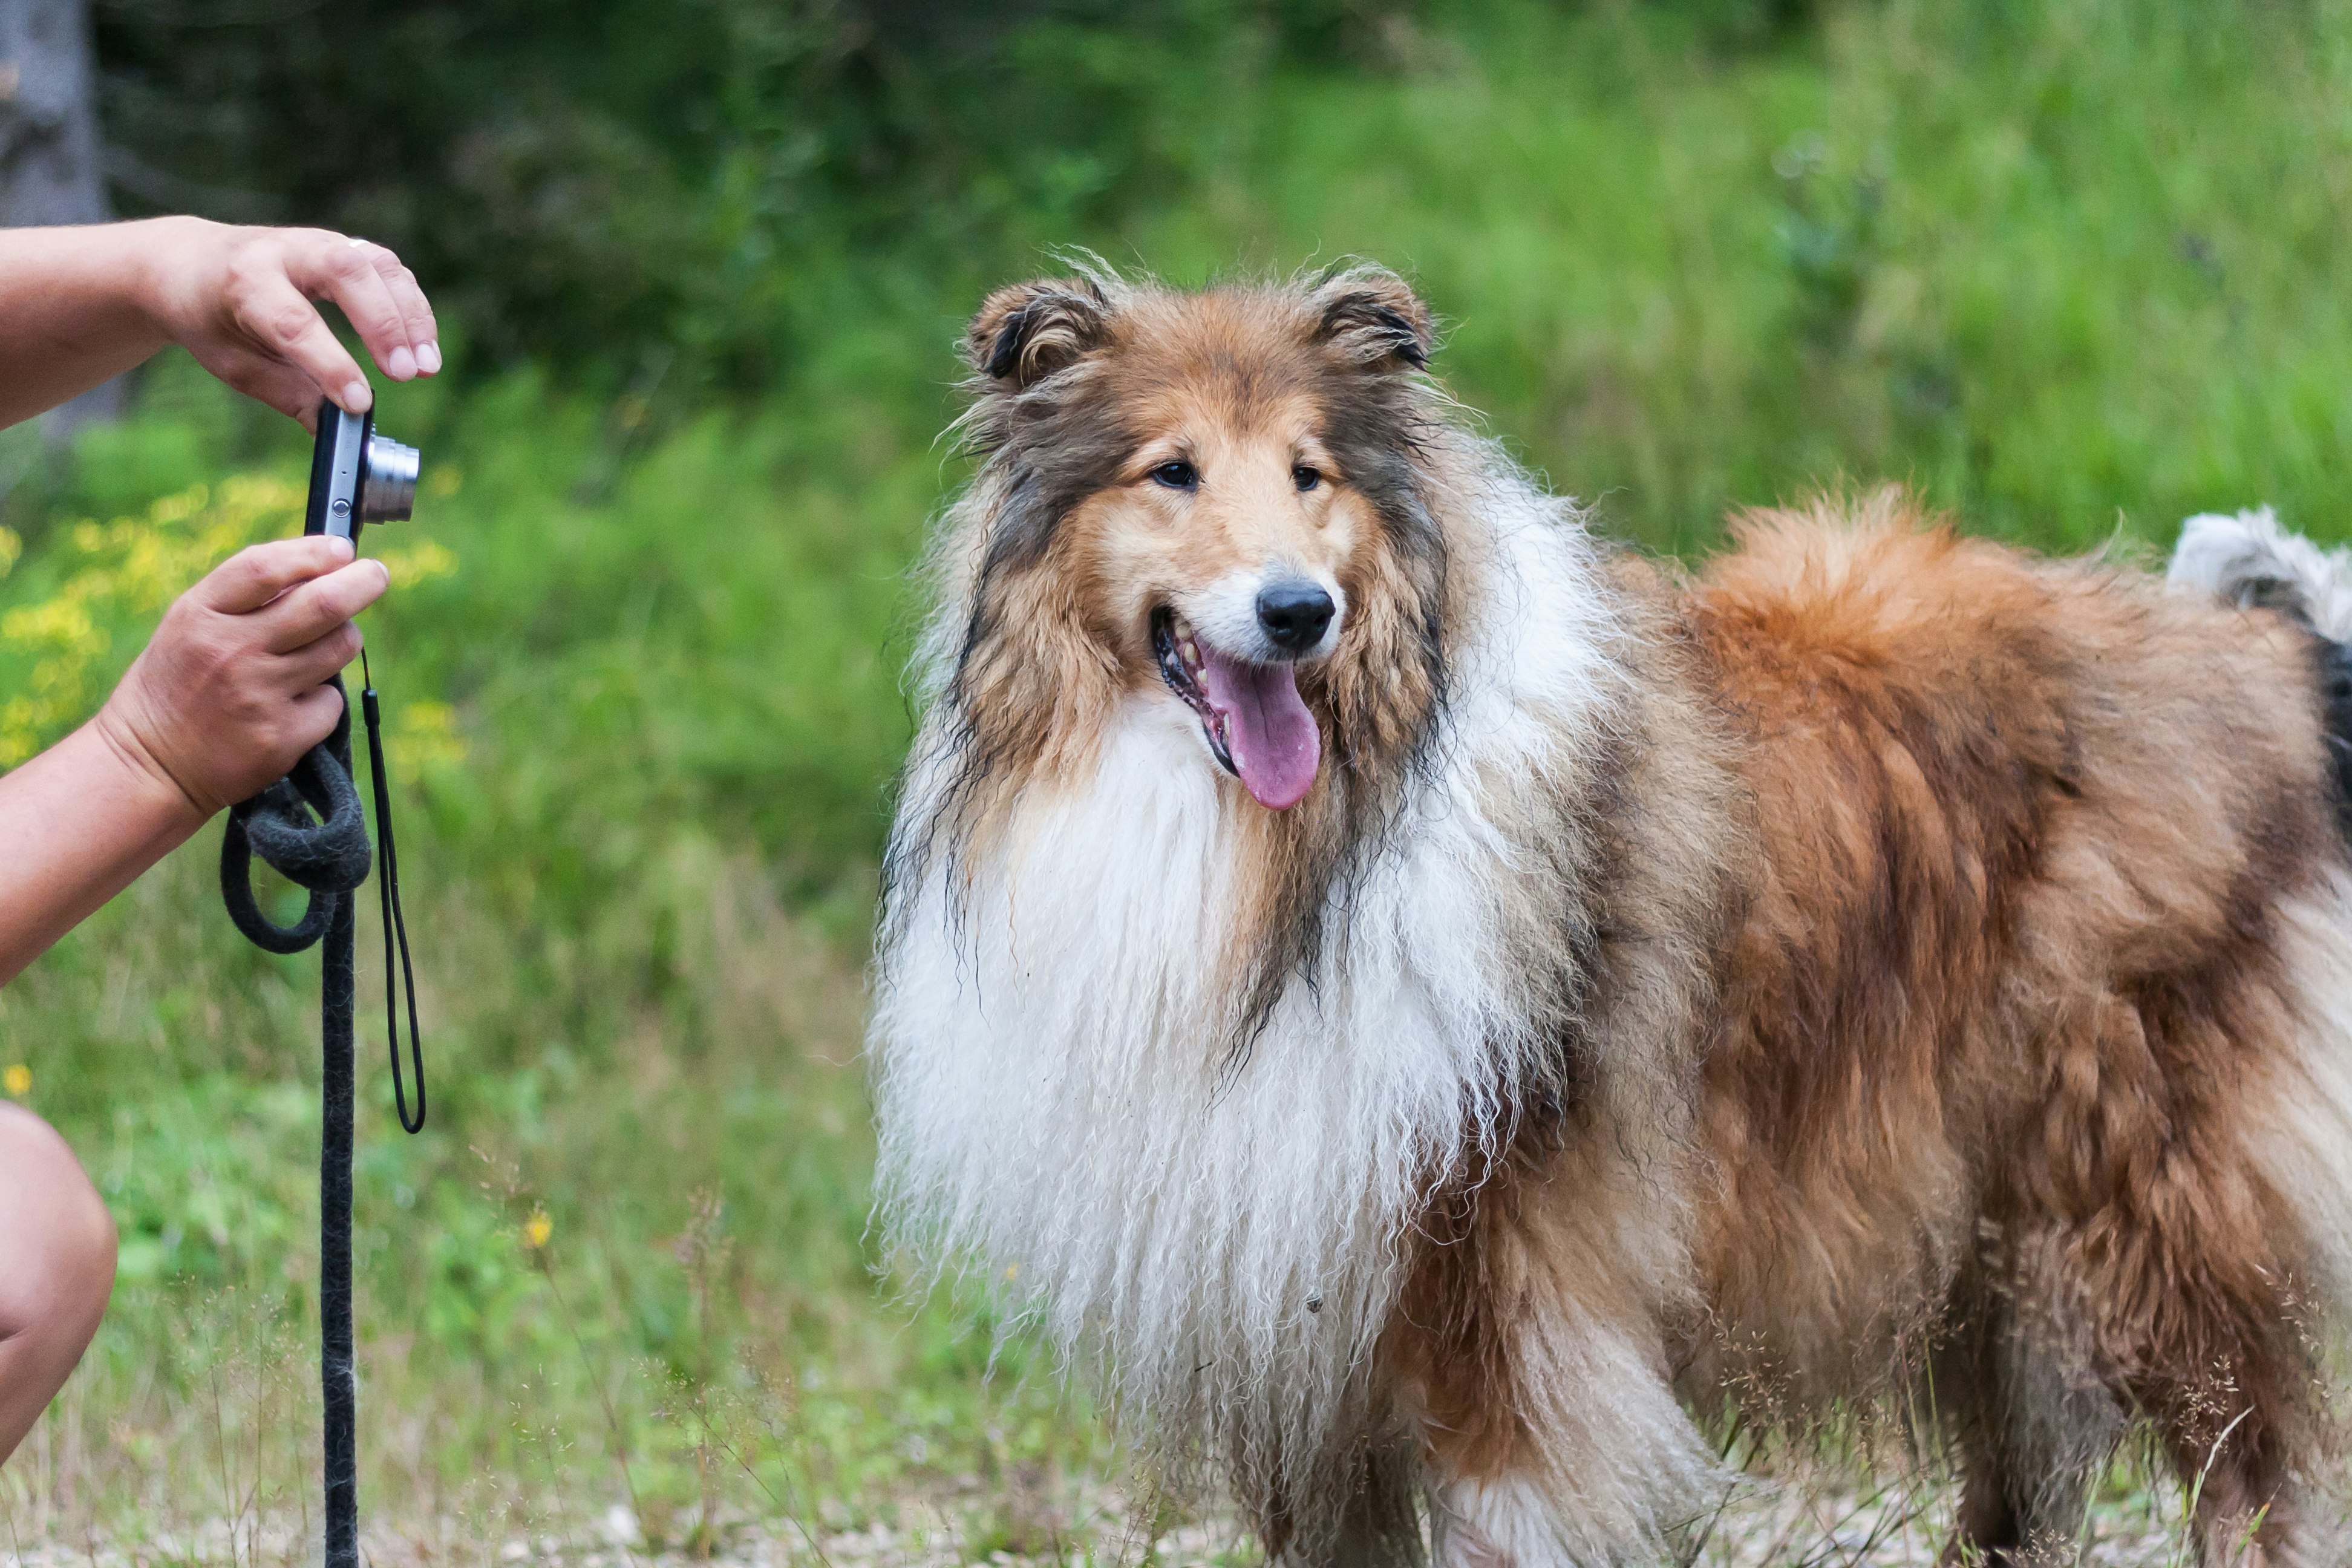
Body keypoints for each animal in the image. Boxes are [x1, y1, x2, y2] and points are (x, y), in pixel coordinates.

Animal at [875, 263, 2352, 1561]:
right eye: (1171, 471)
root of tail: (2269, 656)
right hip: (1984, 1245)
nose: (1299, 614)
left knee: (2253, 1476)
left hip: (2141, 1213)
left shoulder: (1500, 1300)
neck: (1291, 851)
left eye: (1310, 474)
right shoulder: (1306, 1368)